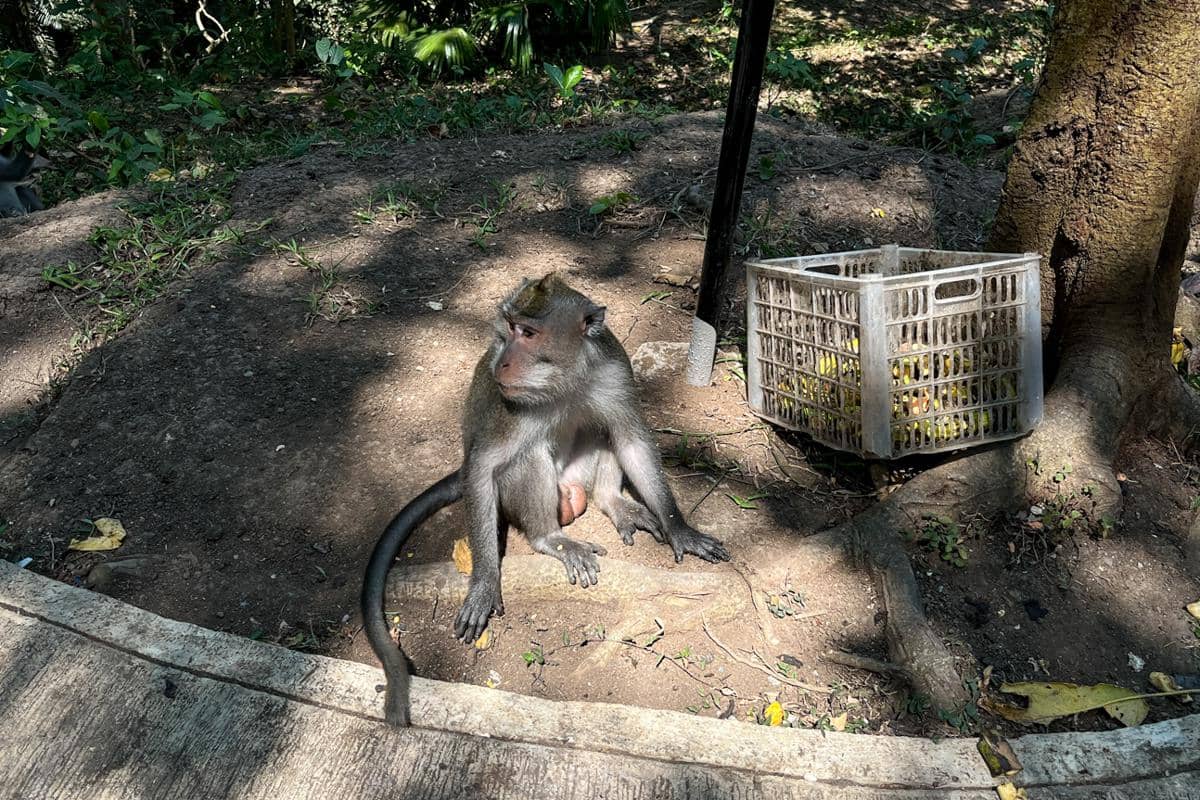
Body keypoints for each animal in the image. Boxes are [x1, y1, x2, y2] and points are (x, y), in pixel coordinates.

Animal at [362, 272, 731, 726]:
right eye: (509, 328)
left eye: (529, 333)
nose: (502, 362)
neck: (564, 378)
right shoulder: (510, 404)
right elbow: (483, 467)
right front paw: (484, 583)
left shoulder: (614, 370)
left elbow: (630, 439)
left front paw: (681, 529)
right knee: (528, 456)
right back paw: (551, 539)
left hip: (576, 477)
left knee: (600, 428)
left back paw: (613, 501)